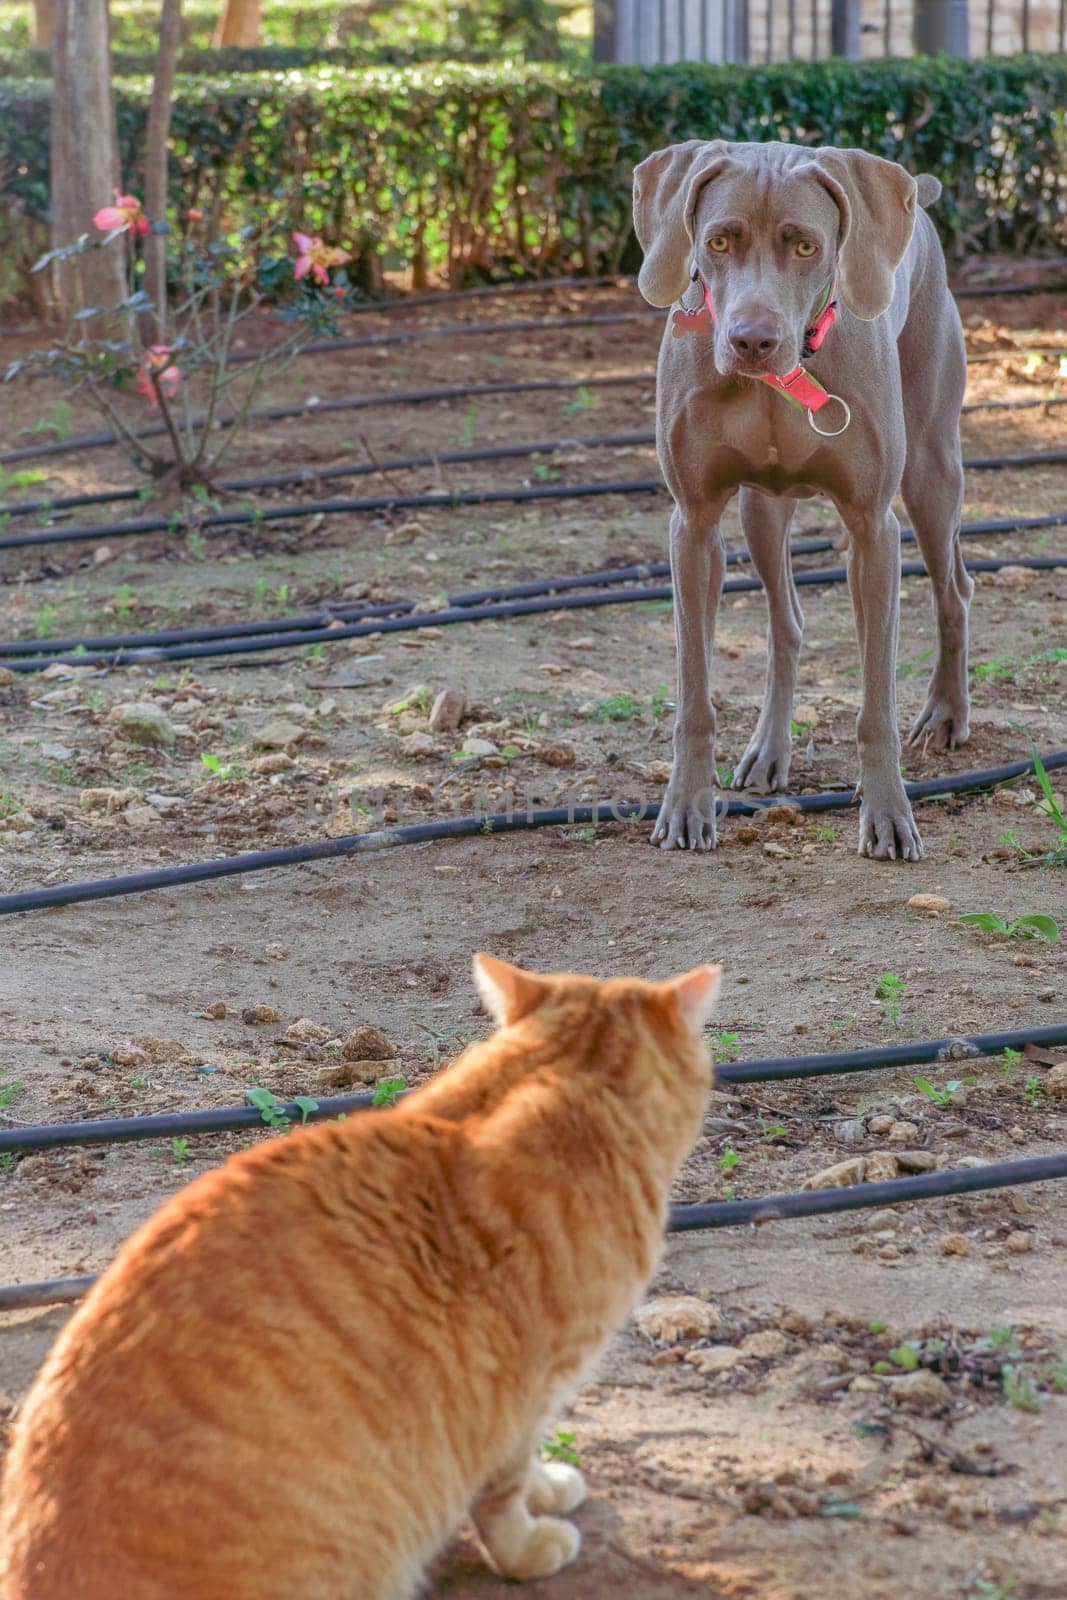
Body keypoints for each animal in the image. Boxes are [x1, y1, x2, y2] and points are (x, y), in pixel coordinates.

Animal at [633, 139, 979, 864]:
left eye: (806, 247)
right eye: (718, 240)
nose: (751, 340)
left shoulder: (873, 527)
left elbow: (875, 705)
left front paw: (887, 813)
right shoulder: (694, 524)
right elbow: (694, 694)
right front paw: (686, 805)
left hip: (931, 471)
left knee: (951, 591)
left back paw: (945, 714)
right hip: (761, 510)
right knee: (787, 619)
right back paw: (769, 750)